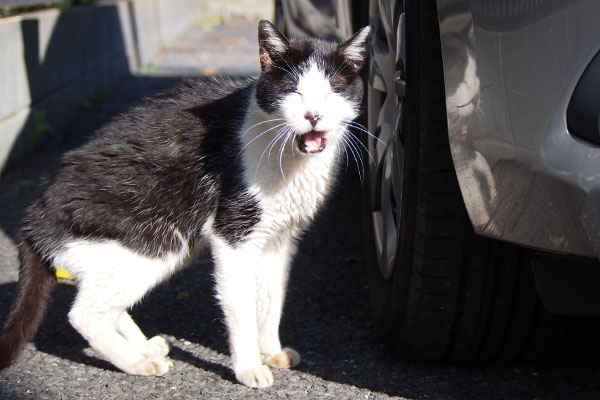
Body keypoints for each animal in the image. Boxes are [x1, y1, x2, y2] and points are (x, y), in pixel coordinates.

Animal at [0, 19, 372, 388]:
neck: (291, 159)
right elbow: (242, 307)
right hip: (157, 237)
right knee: (84, 313)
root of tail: (34, 218)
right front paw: (249, 367)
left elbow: (271, 297)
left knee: (102, 302)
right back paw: (137, 362)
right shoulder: (232, 236)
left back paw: (144, 346)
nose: (313, 115)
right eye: (293, 91)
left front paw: (271, 350)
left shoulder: (280, 239)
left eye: (332, 92)